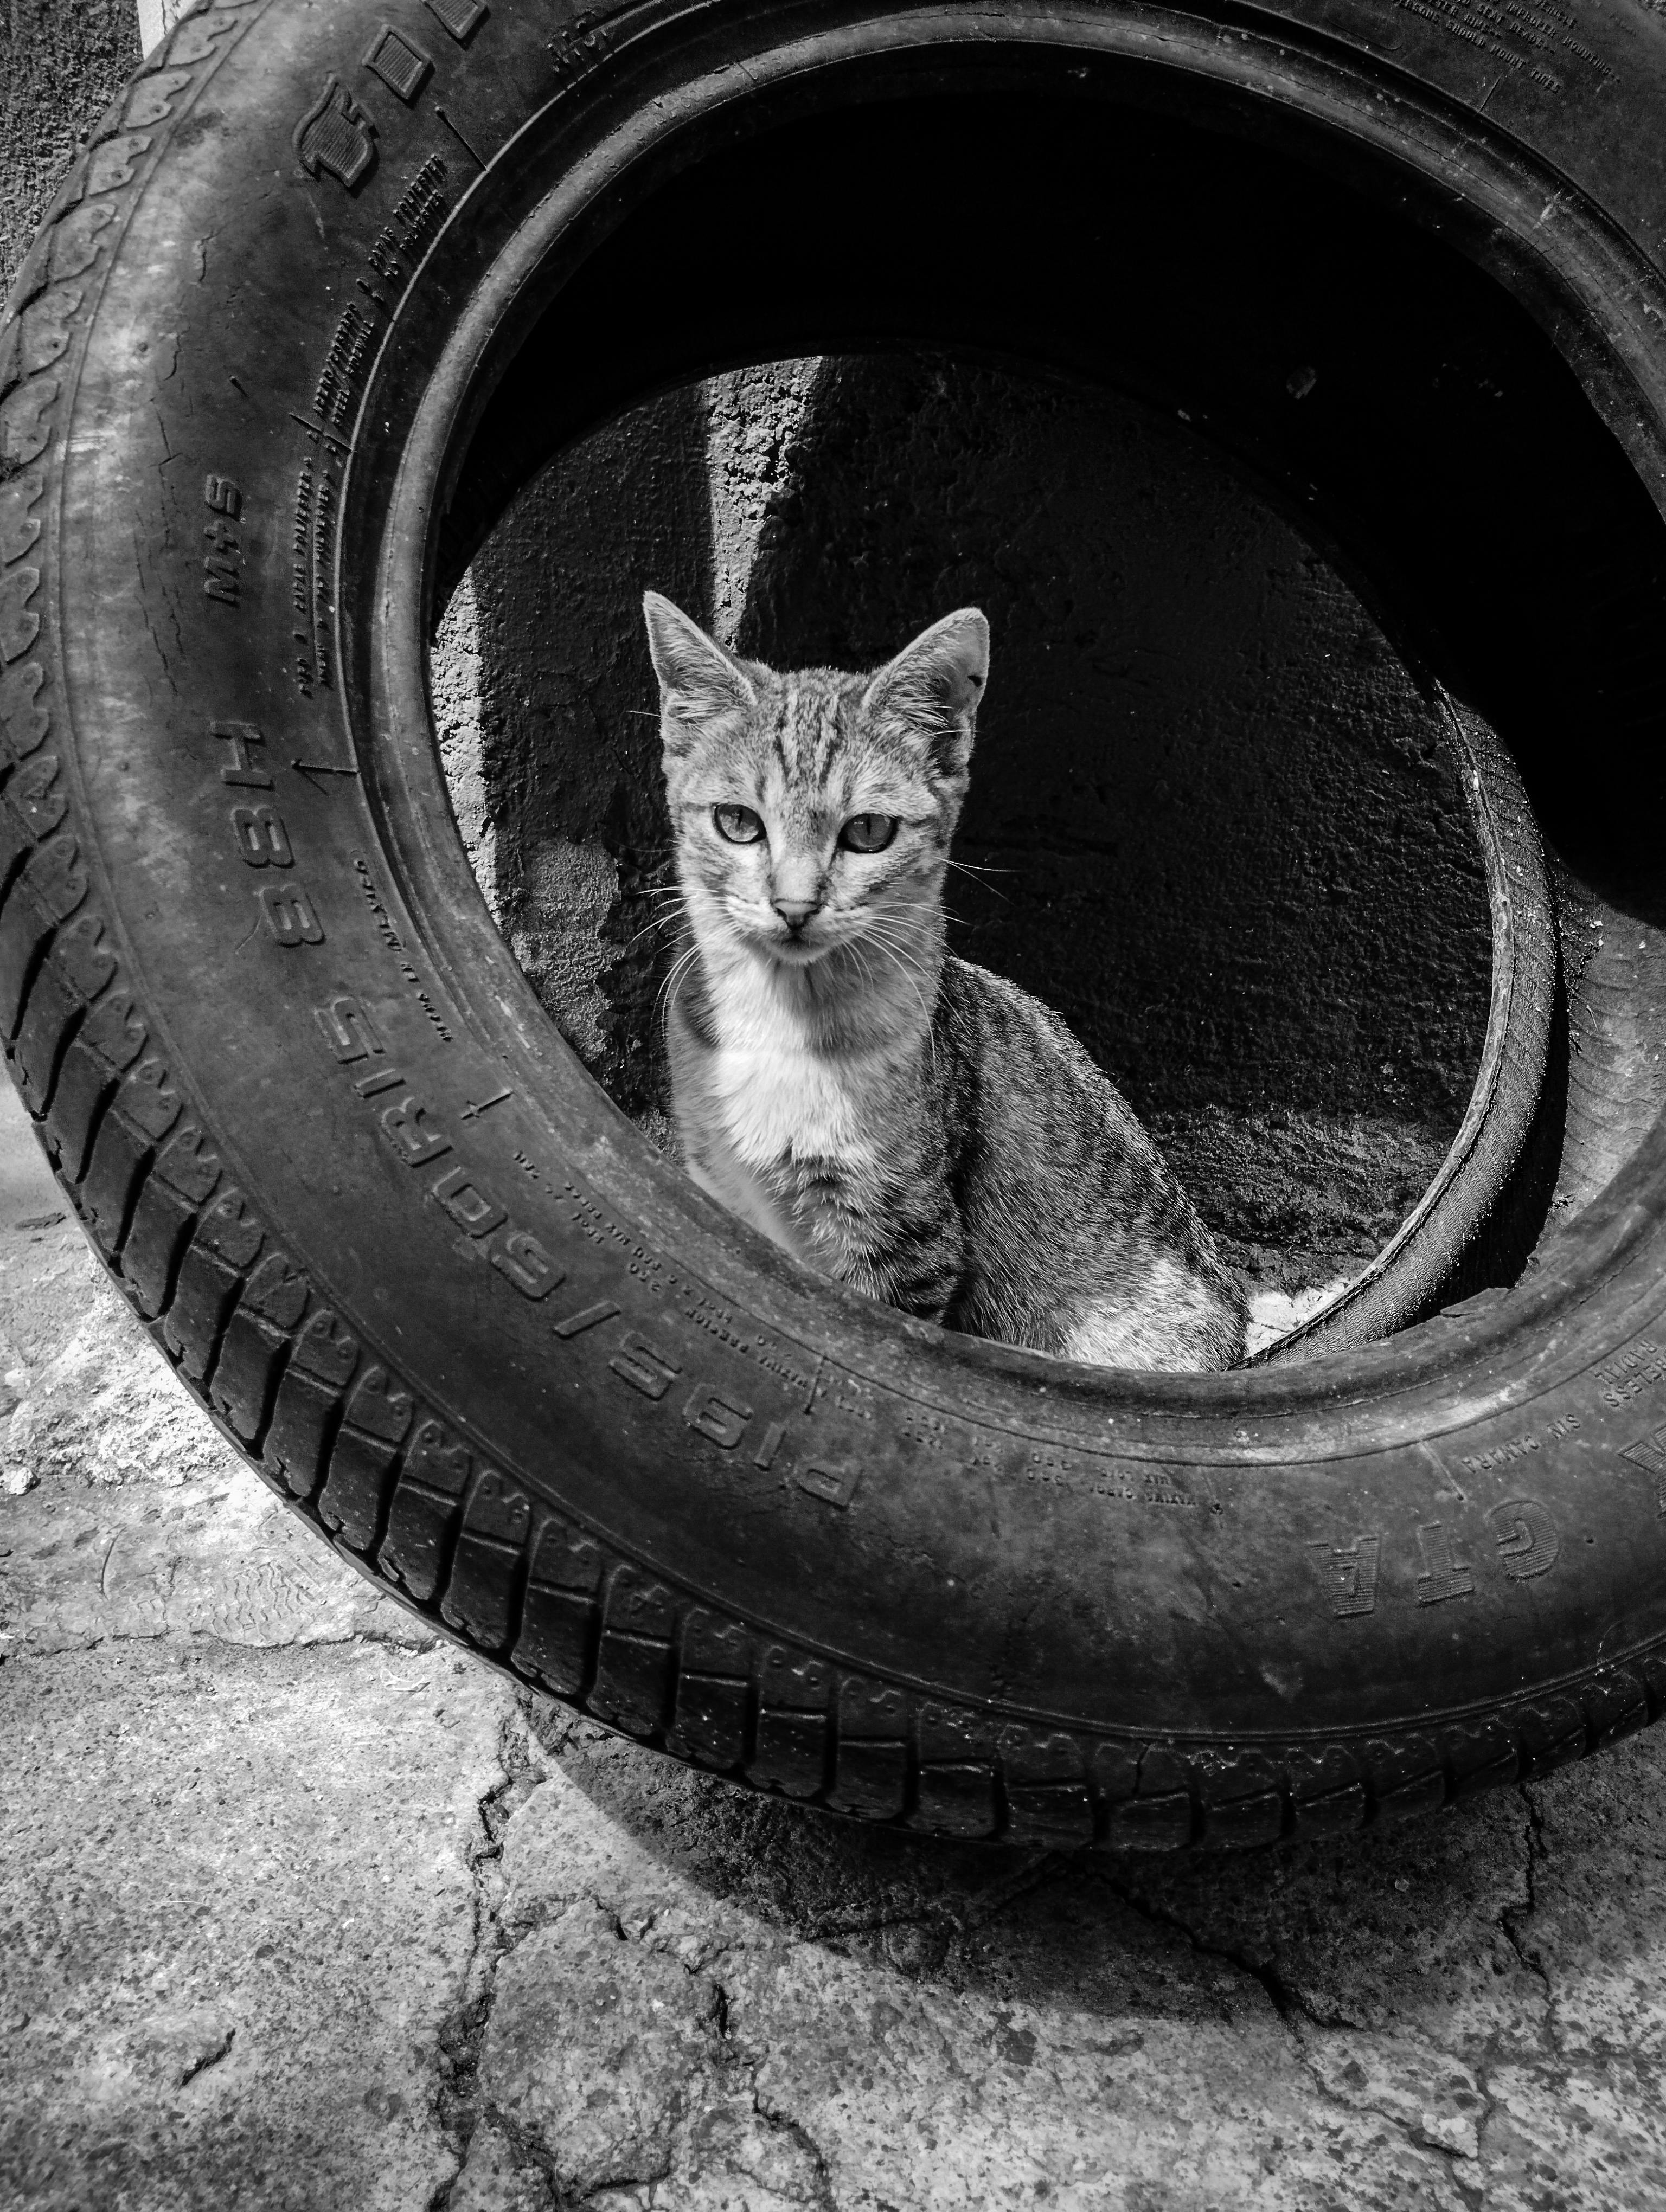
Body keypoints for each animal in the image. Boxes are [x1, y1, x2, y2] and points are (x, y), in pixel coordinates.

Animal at [642, 588, 1239, 1362]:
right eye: (738, 822)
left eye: (869, 831)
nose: (795, 907)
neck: (784, 1022)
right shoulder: (722, 1191)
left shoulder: (906, 1235)